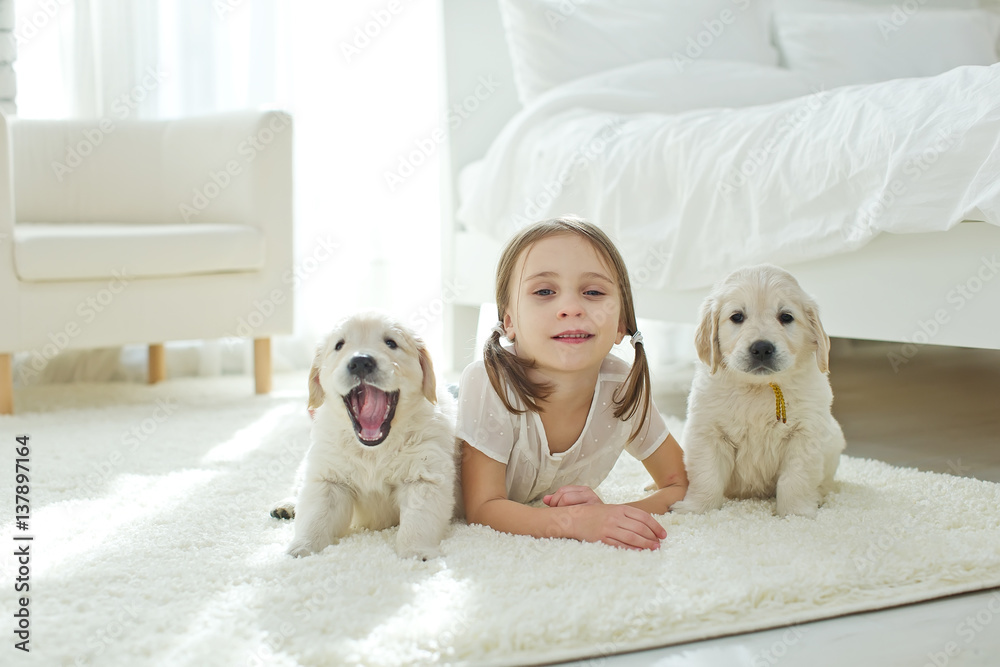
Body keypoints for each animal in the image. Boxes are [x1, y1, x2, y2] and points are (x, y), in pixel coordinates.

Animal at [274, 312, 460, 560]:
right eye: (339, 345)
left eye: (391, 343)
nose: (361, 361)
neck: (373, 449)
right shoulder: (329, 480)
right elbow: (315, 516)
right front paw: (302, 549)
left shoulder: (425, 475)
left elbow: (418, 520)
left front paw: (416, 551)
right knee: (299, 484)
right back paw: (286, 505)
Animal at [672, 264, 844, 520]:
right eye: (737, 317)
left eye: (786, 317)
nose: (762, 348)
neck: (759, 388)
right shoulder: (708, 432)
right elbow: (706, 475)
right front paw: (696, 509)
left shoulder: (805, 435)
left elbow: (796, 480)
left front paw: (796, 515)